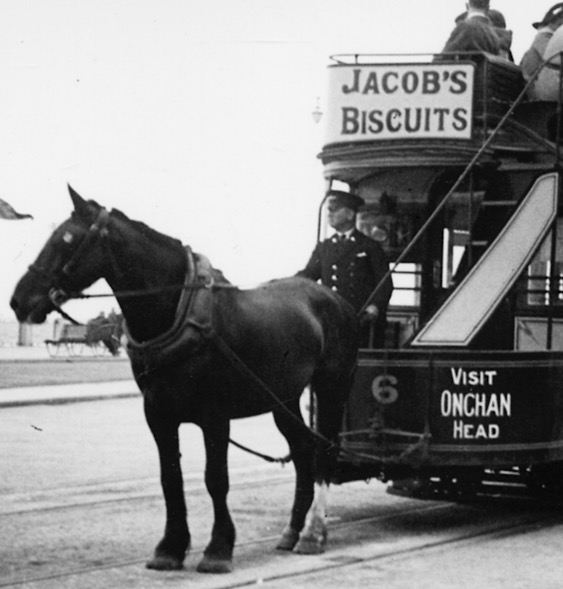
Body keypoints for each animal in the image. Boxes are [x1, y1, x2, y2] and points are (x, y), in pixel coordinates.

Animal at [9, 186, 362, 572]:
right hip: (282, 398)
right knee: (301, 451)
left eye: (67, 240)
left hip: (331, 389)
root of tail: (337, 300)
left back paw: (314, 533)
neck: (182, 312)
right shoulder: (158, 414)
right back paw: (292, 530)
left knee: (325, 451)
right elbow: (170, 478)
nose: (18, 301)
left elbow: (215, 479)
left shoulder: (215, 416)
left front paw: (218, 548)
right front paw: (170, 548)